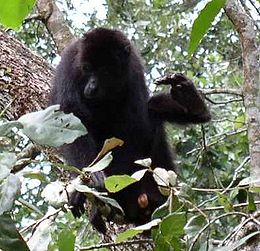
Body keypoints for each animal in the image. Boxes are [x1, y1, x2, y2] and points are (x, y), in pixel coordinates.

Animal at [49, 27, 211, 233]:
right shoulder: (69, 65)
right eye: (87, 68)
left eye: (105, 71)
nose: (92, 86)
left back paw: (194, 105)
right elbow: (70, 121)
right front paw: (92, 176)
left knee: (152, 113)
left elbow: (138, 127)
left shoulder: (133, 69)